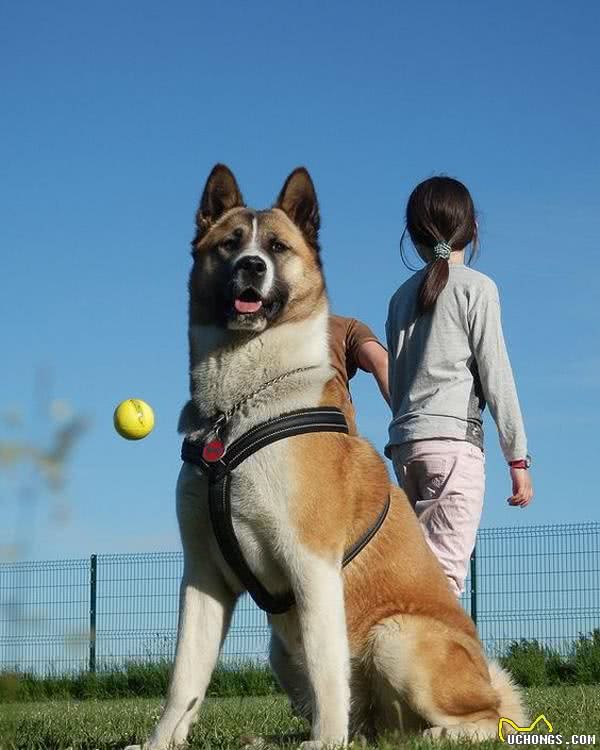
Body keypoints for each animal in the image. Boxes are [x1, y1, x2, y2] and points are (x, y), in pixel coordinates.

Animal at [132, 166, 524, 750]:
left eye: (277, 246)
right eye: (229, 243)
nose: (251, 266)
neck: (239, 410)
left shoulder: (311, 563)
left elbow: (325, 667)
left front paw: (325, 742)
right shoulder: (203, 576)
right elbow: (185, 677)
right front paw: (161, 741)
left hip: (396, 636)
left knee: (487, 717)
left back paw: (430, 734)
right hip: (284, 649)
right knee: (368, 722)